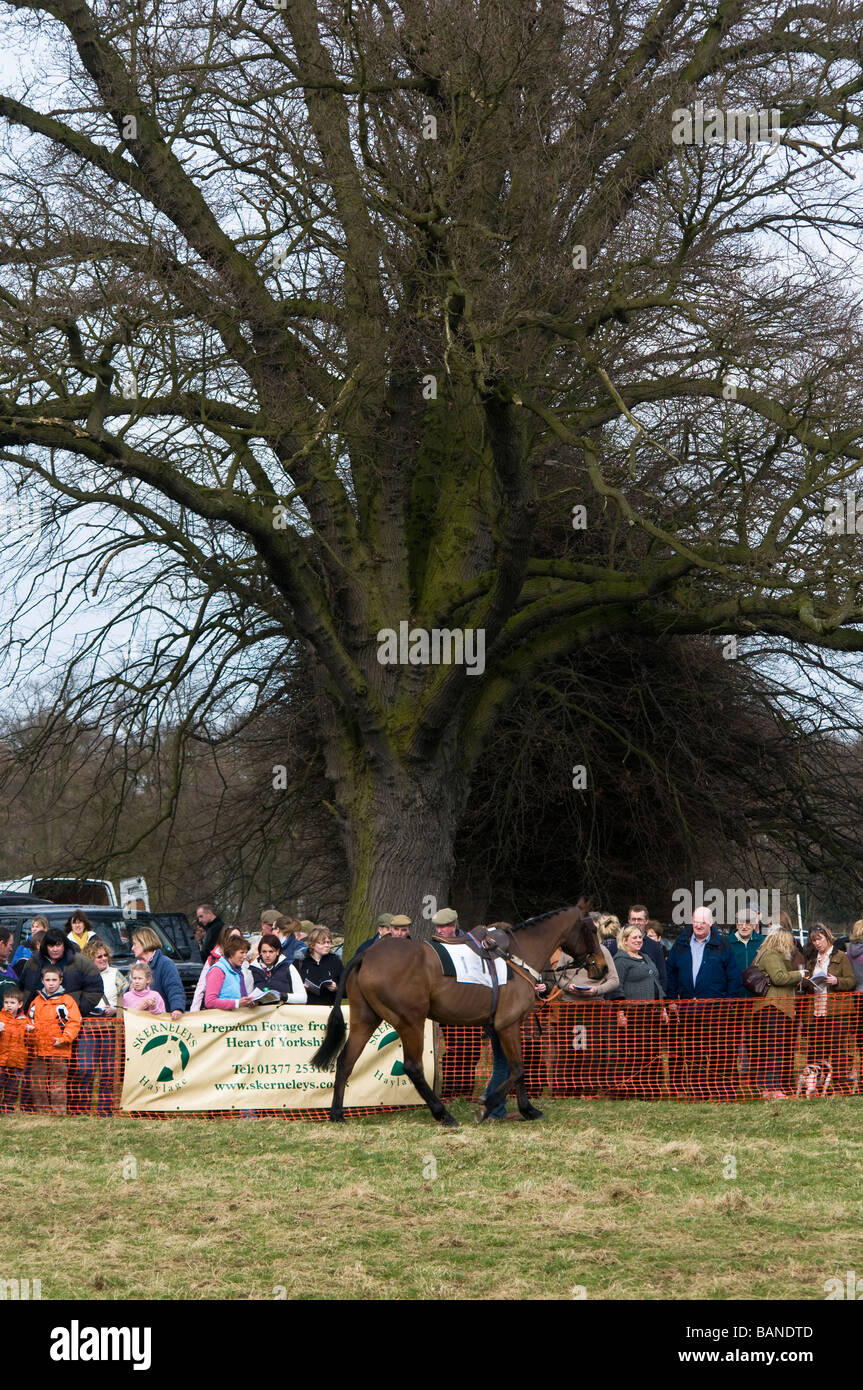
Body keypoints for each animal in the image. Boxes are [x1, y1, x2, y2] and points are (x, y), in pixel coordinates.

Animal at [309, 900, 600, 1128]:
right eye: (593, 929)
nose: (601, 967)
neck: (516, 955)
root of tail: (366, 956)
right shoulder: (508, 1024)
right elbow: (518, 1068)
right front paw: (488, 1106)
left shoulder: (498, 1027)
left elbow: (511, 1068)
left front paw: (526, 1108)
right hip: (411, 1022)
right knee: (412, 1067)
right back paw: (442, 1113)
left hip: (365, 1018)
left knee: (346, 1061)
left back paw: (337, 1113)